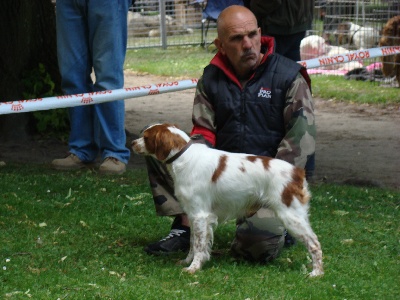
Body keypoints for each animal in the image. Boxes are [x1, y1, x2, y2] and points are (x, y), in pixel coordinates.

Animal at [133, 122, 324, 276]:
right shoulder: (194, 215)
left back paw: (316, 273)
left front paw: (193, 268)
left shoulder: (201, 215)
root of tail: (297, 172)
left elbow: (199, 245)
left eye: (146, 137)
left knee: (314, 243)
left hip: (291, 216)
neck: (184, 158)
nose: (133, 143)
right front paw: (187, 261)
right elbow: (193, 242)